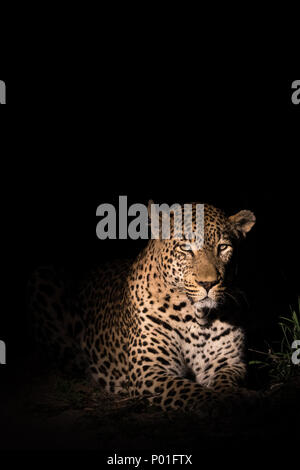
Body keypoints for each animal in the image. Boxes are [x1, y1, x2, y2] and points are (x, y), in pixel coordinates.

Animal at [28, 202, 262, 414]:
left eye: (223, 248)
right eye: (185, 248)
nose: (208, 283)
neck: (198, 318)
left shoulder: (229, 363)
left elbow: (226, 383)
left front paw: (239, 395)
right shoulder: (150, 371)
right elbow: (193, 391)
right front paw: (228, 402)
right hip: (43, 276)